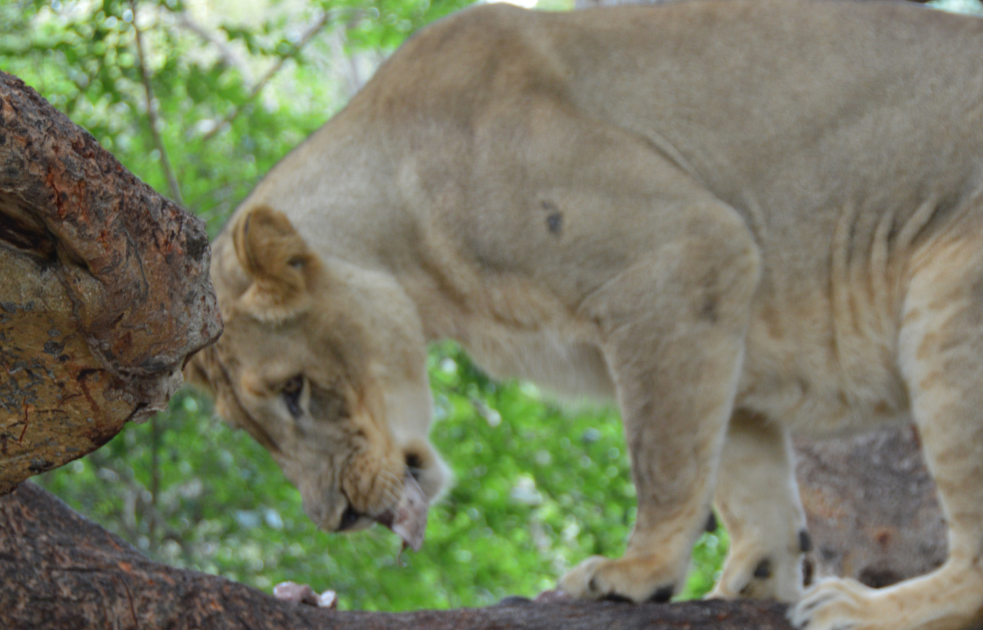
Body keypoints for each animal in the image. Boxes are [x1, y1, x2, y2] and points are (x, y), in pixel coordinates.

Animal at [185, 1, 983, 628]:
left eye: (294, 390)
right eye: (250, 425)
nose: (338, 519)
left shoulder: (680, 253)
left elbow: (664, 454)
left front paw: (638, 573)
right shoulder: (722, 319)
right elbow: (741, 468)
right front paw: (754, 578)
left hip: (949, 312)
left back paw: (862, 608)